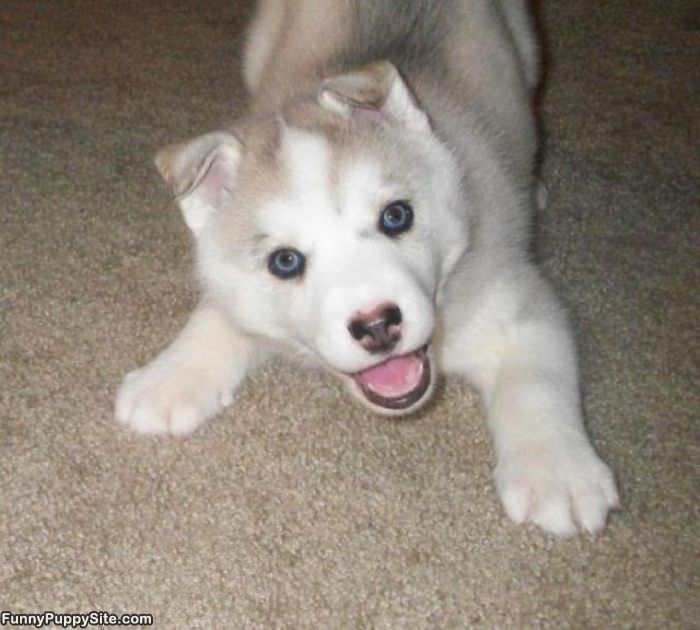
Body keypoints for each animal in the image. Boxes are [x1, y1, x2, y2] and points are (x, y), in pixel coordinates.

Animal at [115, 1, 616, 540]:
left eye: (396, 216)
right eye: (285, 261)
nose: (377, 324)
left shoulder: (517, 301)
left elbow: (538, 380)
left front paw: (557, 473)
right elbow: (218, 316)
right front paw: (167, 379)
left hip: (526, 46)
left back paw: (535, 187)